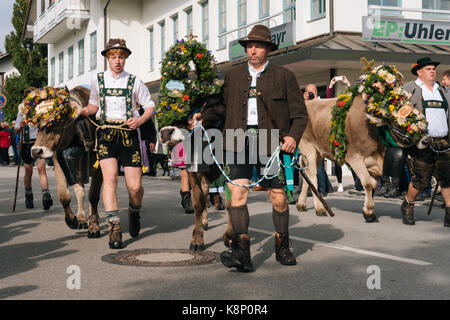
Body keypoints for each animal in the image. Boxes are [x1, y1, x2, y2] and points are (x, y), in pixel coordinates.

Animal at [298, 58, 430, 222]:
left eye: (418, 112)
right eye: (399, 123)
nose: (427, 140)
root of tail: (309, 103)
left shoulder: (374, 163)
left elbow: (372, 185)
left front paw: (370, 210)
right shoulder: (354, 157)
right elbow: (367, 183)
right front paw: (368, 212)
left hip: (318, 153)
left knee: (306, 176)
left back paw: (301, 204)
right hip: (308, 148)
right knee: (312, 176)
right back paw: (319, 208)